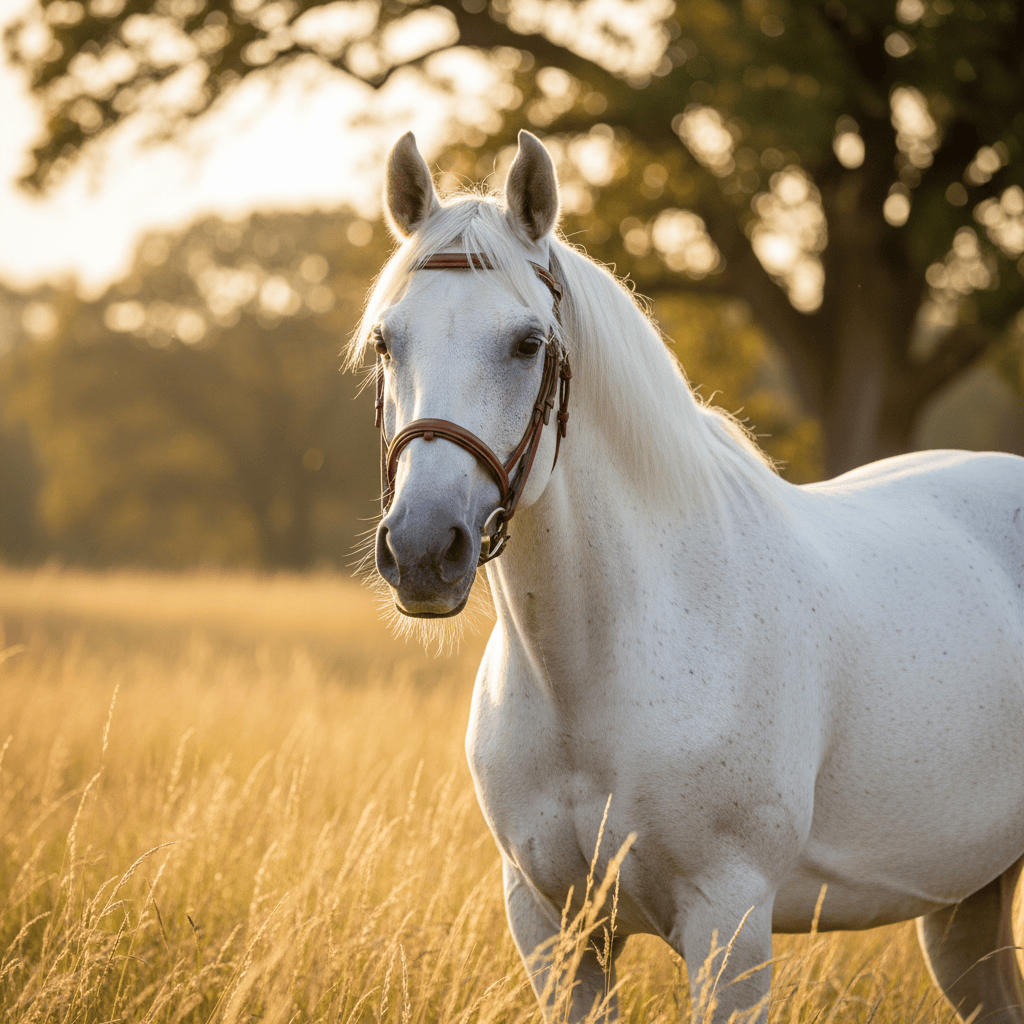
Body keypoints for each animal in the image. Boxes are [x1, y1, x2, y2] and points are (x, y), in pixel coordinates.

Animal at [351, 128, 1024, 1023]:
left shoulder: (727, 927)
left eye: (528, 343)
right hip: (967, 902)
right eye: (387, 342)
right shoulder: (553, 928)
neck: (592, 673)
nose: (425, 549)